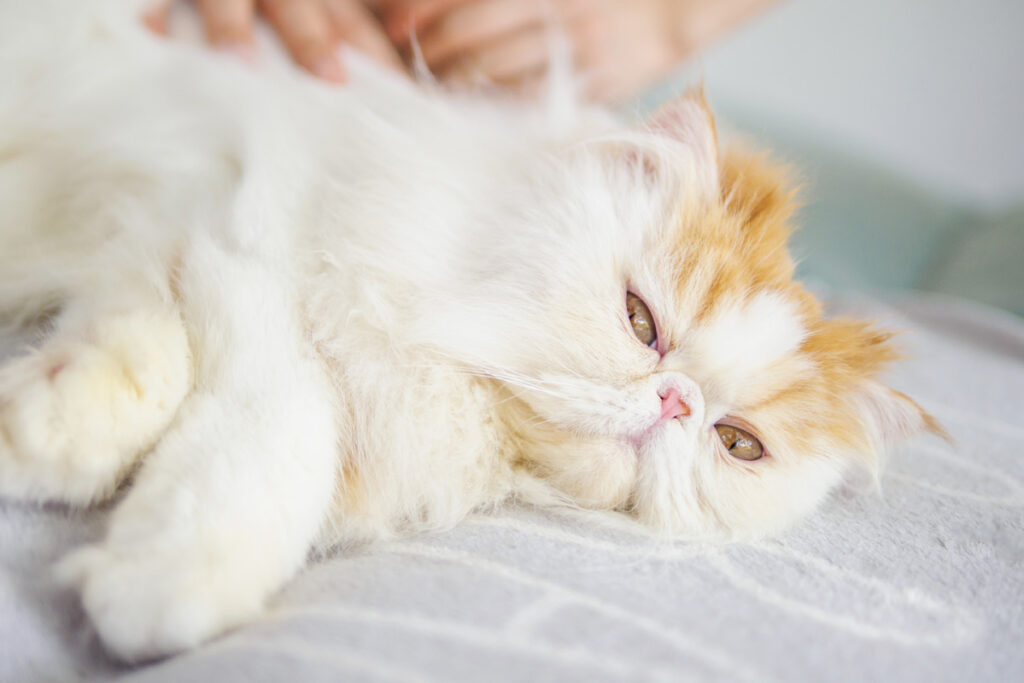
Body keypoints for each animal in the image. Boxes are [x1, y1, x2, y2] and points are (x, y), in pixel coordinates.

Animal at [0, 0, 937, 663]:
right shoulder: (236, 236)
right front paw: (162, 576)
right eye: (642, 321)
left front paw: (42, 438)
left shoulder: (172, 232)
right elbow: (268, 433)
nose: (674, 401)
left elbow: (137, 367)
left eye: (738, 443)